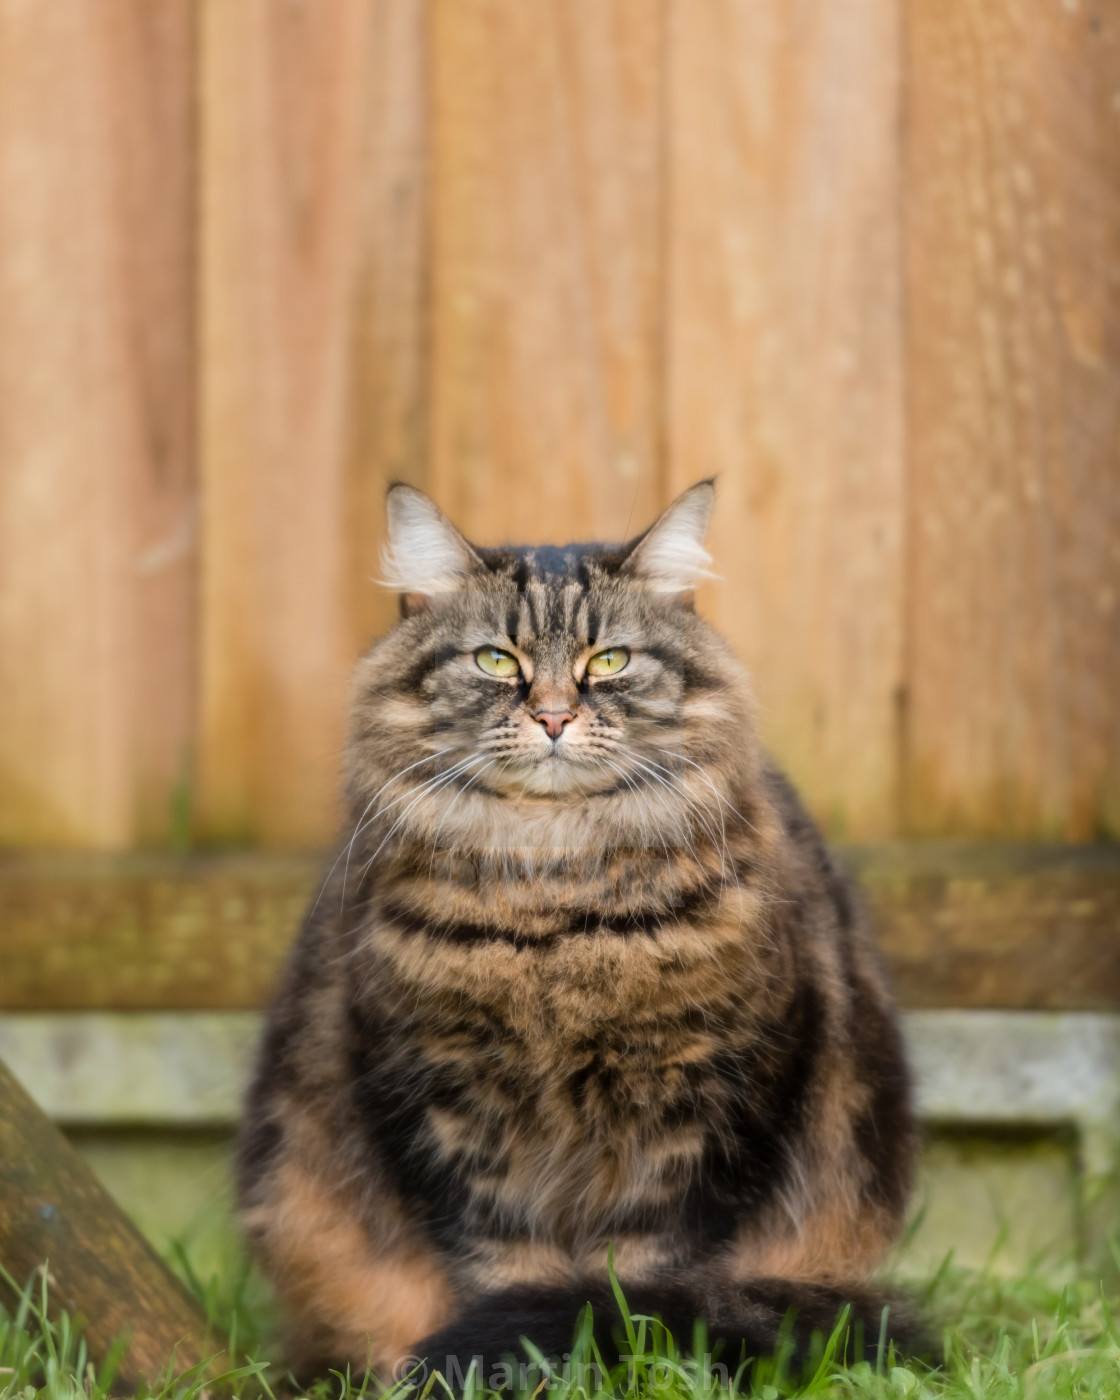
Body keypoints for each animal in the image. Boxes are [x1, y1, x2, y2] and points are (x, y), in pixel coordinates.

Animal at [236, 481, 918, 1377]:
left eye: (610, 661)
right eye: (497, 660)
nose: (555, 716)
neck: (554, 918)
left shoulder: (706, 1106)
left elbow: (640, 1280)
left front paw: (618, 1359)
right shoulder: (451, 1104)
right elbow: (506, 1266)